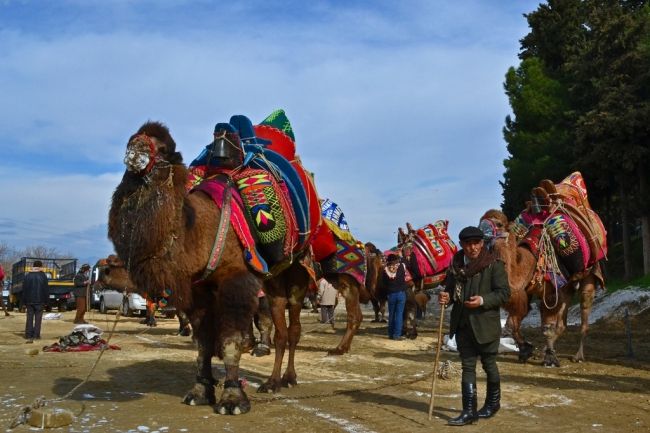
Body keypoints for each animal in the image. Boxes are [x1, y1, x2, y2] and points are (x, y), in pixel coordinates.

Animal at [109, 120, 312, 412]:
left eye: (163, 148)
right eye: (132, 138)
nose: (135, 150)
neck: (197, 233)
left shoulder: (235, 279)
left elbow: (230, 340)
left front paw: (232, 398)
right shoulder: (198, 288)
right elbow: (203, 342)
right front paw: (201, 390)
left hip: (297, 272)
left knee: (293, 327)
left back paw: (288, 378)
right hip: (273, 282)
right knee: (280, 328)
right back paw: (272, 382)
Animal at [480, 208, 604, 366]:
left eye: (499, 224)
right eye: (480, 221)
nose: (481, 234)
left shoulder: (551, 292)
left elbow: (547, 327)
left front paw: (550, 358)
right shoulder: (525, 292)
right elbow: (513, 323)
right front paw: (526, 350)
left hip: (590, 274)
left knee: (583, 310)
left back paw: (578, 356)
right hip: (567, 288)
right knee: (562, 322)